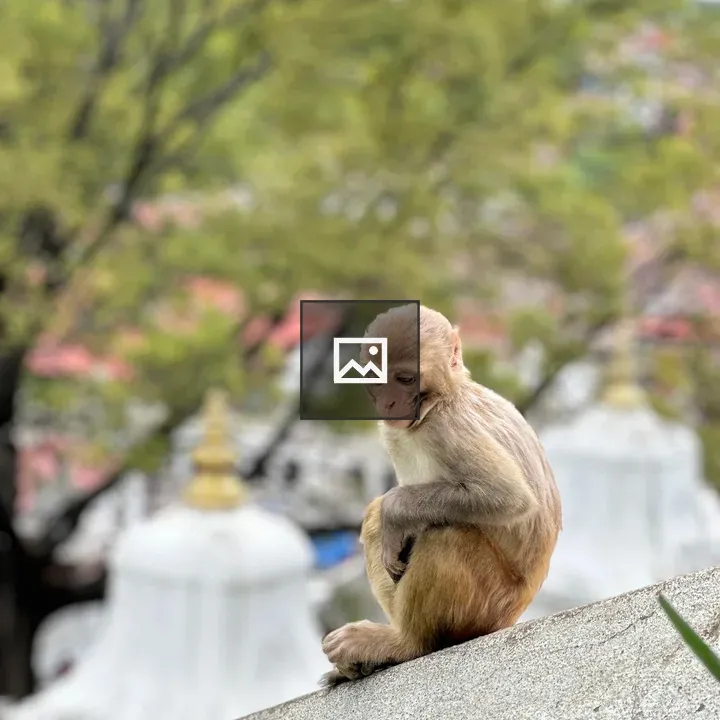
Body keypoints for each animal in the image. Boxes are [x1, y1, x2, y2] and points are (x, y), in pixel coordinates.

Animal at [320, 304, 562, 686]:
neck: (439, 398)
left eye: (405, 378)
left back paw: (405, 643)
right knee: (378, 522)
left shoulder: (447, 427)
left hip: (487, 604)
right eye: (378, 379)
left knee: (444, 534)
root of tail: (512, 613)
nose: (390, 402)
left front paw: (395, 512)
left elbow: (507, 496)